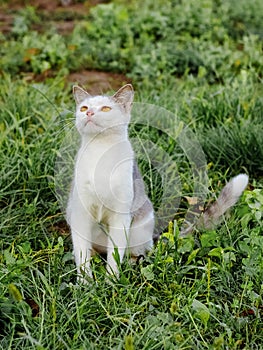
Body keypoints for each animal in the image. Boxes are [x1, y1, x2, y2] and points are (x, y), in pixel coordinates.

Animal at [67, 84, 250, 282]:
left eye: (106, 108)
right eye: (84, 108)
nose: (89, 113)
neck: (100, 152)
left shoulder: (121, 215)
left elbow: (115, 255)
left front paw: (111, 281)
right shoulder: (80, 214)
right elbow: (82, 256)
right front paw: (85, 283)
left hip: (139, 229)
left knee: (138, 252)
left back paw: (131, 263)